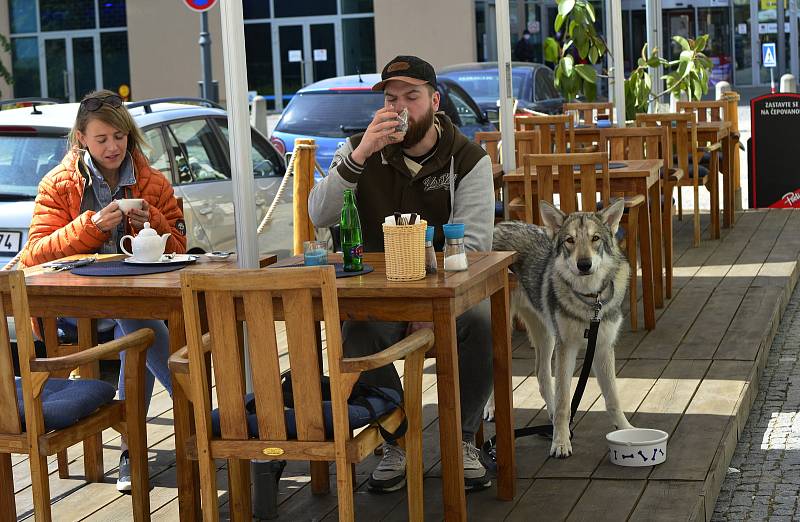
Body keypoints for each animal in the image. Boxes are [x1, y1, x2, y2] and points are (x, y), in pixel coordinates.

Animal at [490, 198, 636, 456]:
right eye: (570, 240)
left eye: (595, 238)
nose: (584, 264)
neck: (590, 301)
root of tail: (499, 225)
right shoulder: (566, 348)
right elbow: (564, 401)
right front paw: (560, 442)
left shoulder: (602, 348)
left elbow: (613, 399)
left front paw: (626, 430)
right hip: (507, 331)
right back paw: (489, 410)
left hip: (547, 336)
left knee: (541, 376)